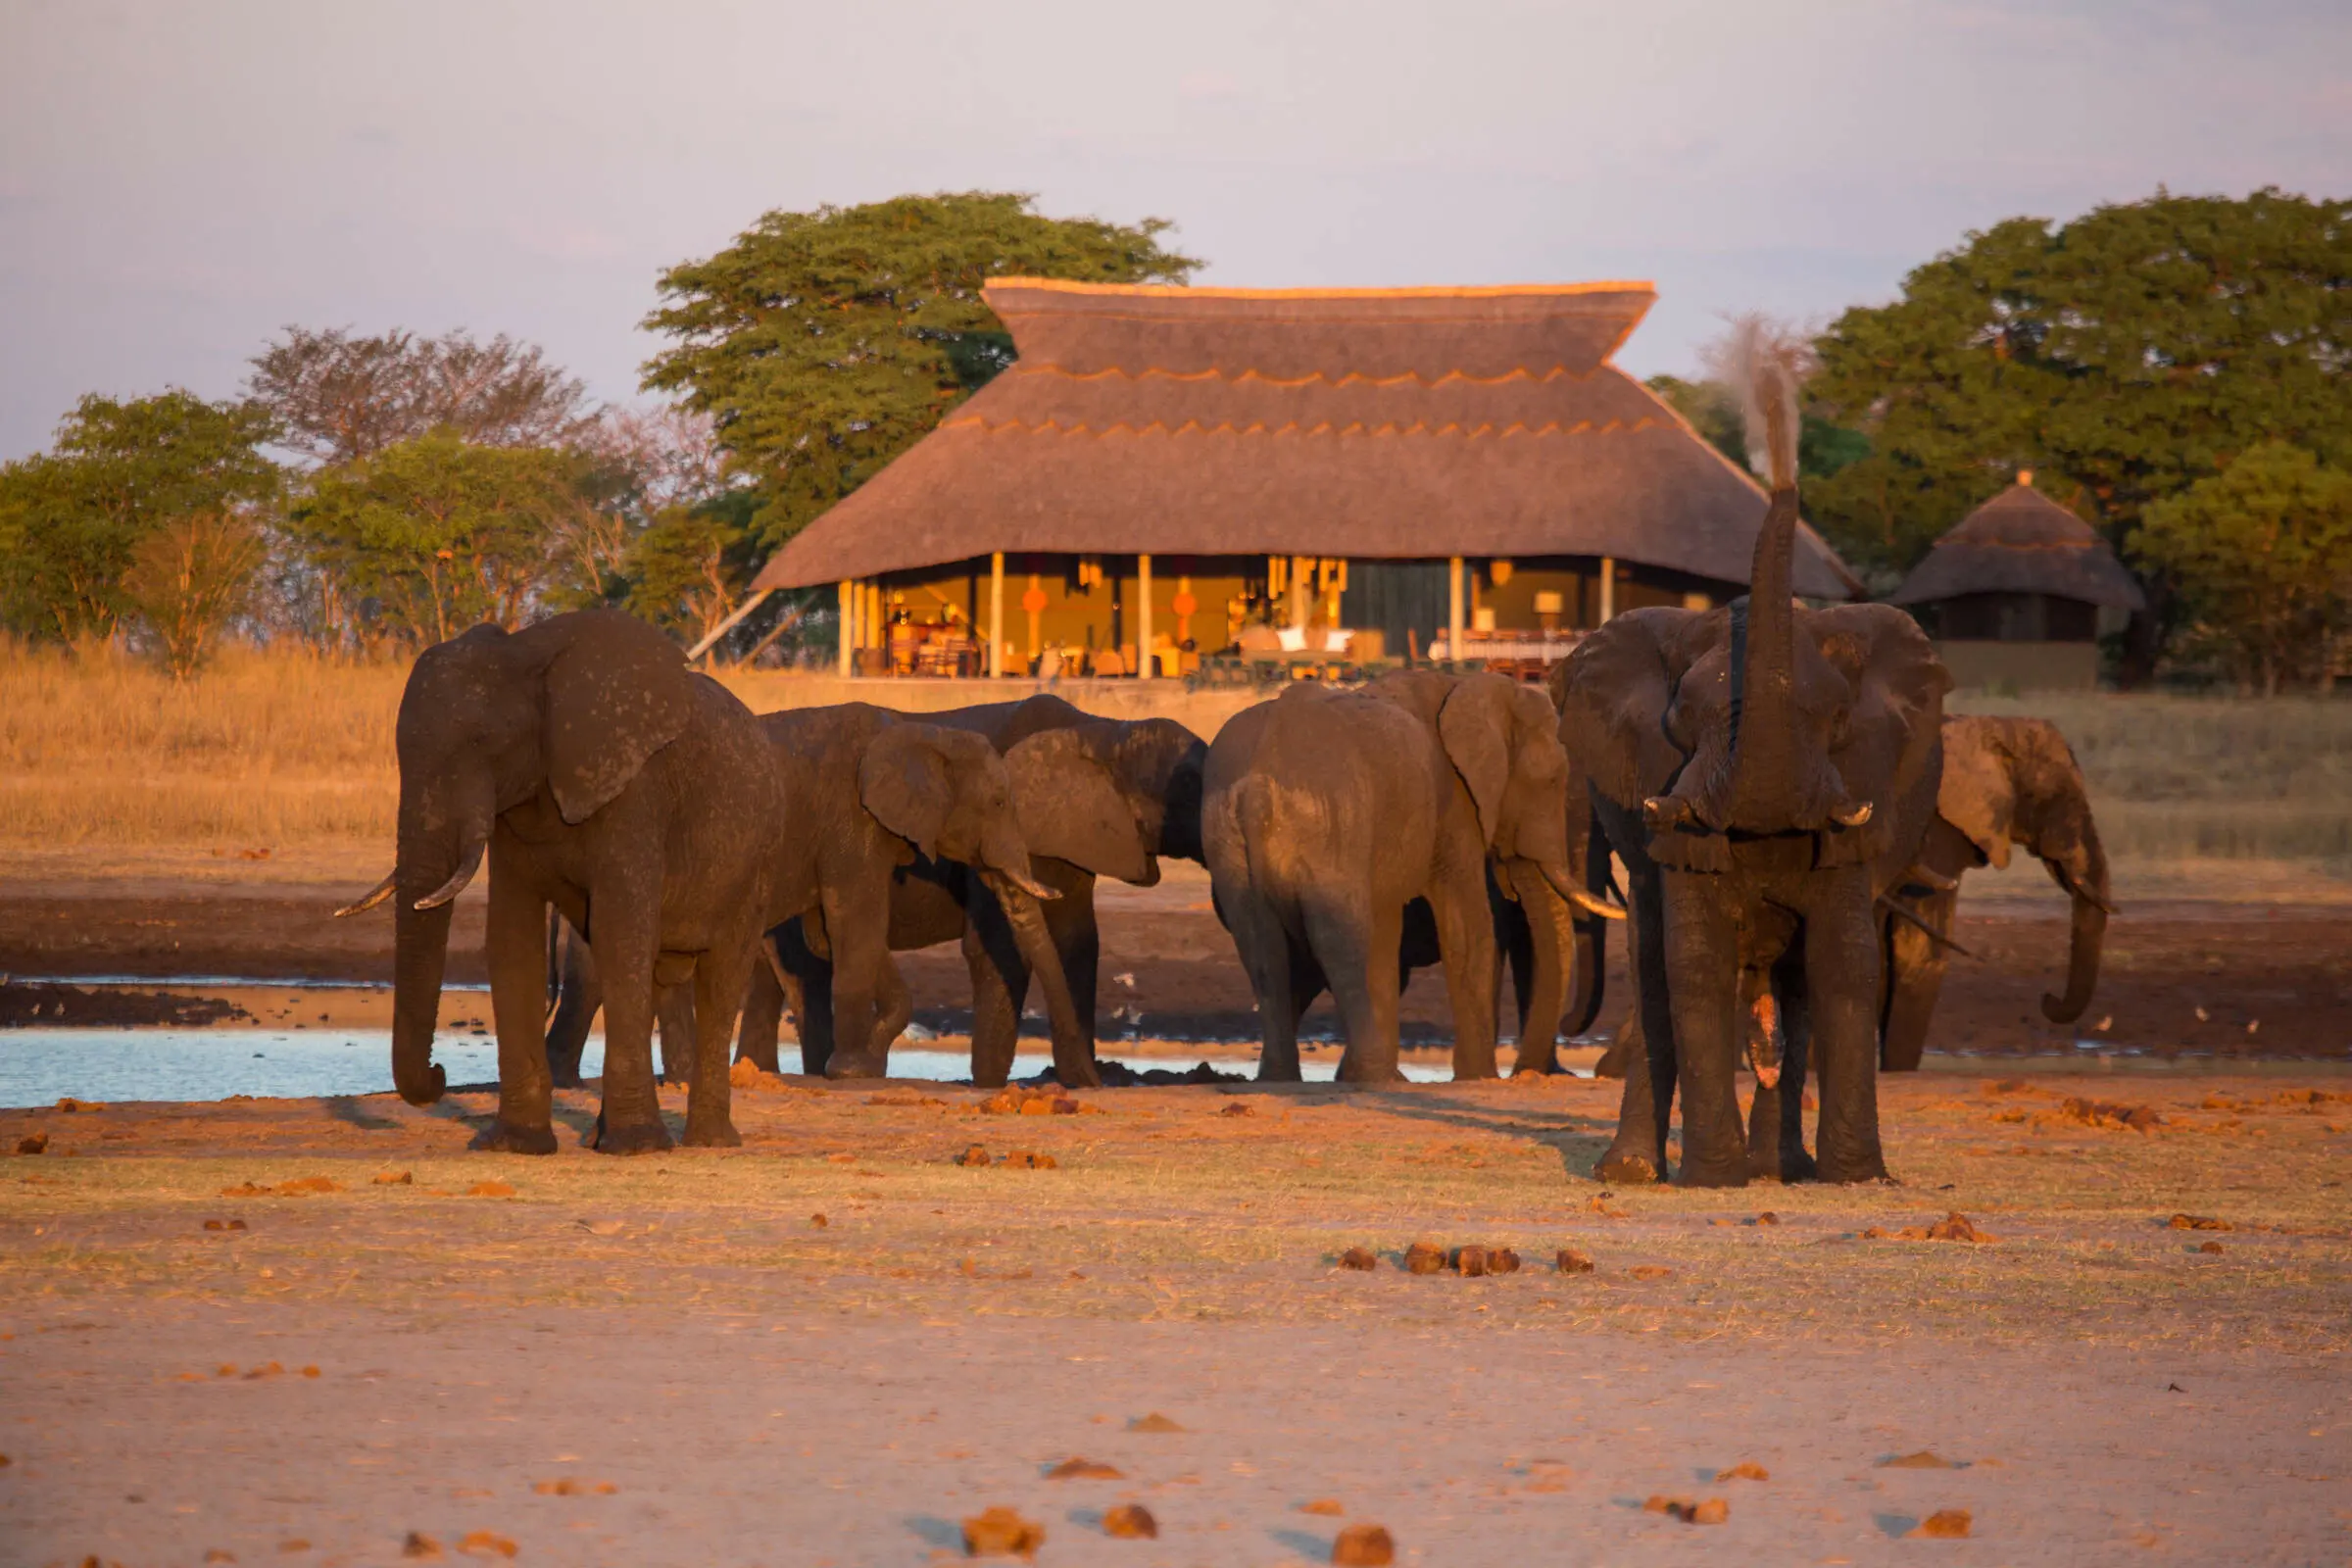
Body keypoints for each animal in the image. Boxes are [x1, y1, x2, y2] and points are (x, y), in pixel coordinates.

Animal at [333, 606, 780, 1161]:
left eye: (483, 742)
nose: (439, 1073)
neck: (527, 656)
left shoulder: (636, 791)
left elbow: (619, 930)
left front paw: (635, 1148)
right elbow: (512, 937)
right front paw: (513, 1145)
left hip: (754, 863)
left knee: (719, 976)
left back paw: (706, 1141)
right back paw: (601, 1138)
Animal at [1203, 667, 1590, 1086]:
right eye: (1553, 782)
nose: (1523, 1074)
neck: (1473, 687)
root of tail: (1255, 788)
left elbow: (1387, 938)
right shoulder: (1454, 808)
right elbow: (1466, 929)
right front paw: (1477, 1078)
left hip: (1229, 845)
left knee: (1260, 945)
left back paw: (1283, 1078)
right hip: (1330, 828)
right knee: (1340, 939)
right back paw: (1368, 1072)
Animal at [1561, 352, 1947, 1189]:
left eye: (1834, 718)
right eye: (1687, 720)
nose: (1781, 467)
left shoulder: (1860, 800)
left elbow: (1844, 964)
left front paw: (1859, 1179)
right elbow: (1696, 968)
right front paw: (1713, 1178)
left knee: (1794, 995)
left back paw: (1783, 1169)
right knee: (1657, 978)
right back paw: (1636, 1173)